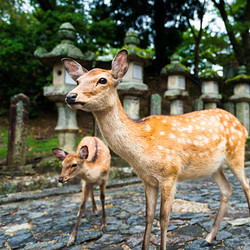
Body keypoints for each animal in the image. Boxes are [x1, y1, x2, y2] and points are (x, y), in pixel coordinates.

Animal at [61, 49, 250, 249]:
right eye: (78, 81)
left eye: (102, 80)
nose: (70, 96)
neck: (140, 150)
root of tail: (242, 125)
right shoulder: (148, 179)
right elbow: (148, 216)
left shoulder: (169, 173)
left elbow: (164, 218)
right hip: (214, 167)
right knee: (227, 189)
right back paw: (208, 238)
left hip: (236, 154)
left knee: (246, 185)